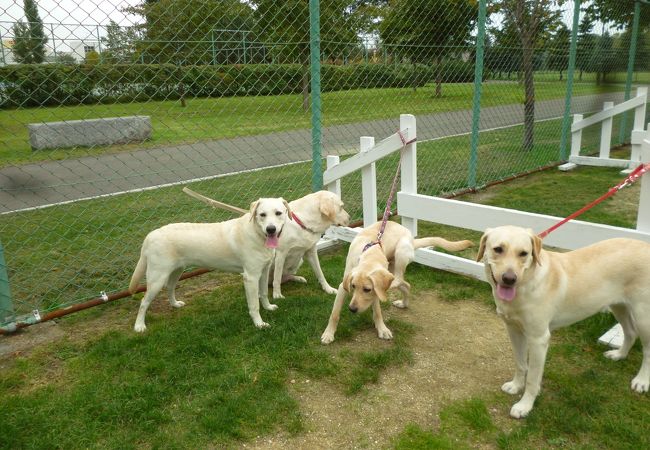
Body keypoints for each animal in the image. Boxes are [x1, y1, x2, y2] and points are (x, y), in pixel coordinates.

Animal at [128, 199, 288, 332]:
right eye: (262, 215)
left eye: (278, 213)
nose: (271, 229)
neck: (257, 233)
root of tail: (151, 234)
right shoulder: (250, 277)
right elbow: (254, 305)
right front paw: (259, 324)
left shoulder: (264, 271)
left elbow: (264, 293)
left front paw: (268, 307)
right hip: (157, 278)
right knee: (144, 302)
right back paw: (139, 326)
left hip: (176, 271)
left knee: (170, 287)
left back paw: (175, 304)